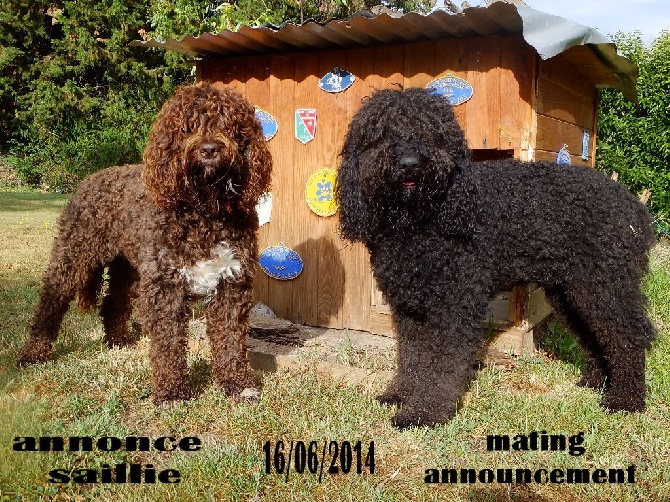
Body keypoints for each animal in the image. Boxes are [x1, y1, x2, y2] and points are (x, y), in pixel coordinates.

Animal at [19, 83, 270, 404]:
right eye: (187, 127)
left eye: (228, 124)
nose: (209, 149)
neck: (204, 211)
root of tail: (91, 178)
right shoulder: (165, 286)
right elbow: (168, 343)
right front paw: (172, 391)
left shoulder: (231, 284)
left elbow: (230, 341)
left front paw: (237, 385)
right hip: (73, 256)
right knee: (50, 303)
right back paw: (33, 354)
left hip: (129, 269)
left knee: (113, 302)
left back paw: (118, 340)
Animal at [336, 88, 656, 426]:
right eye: (382, 133)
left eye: (432, 132)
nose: (410, 163)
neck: (422, 220)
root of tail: (635, 207)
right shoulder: (409, 308)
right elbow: (412, 357)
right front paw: (399, 394)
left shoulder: (454, 305)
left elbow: (442, 366)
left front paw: (425, 413)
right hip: (571, 292)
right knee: (595, 337)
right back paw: (594, 382)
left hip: (605, 286)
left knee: (629, 336)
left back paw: (625, 400)